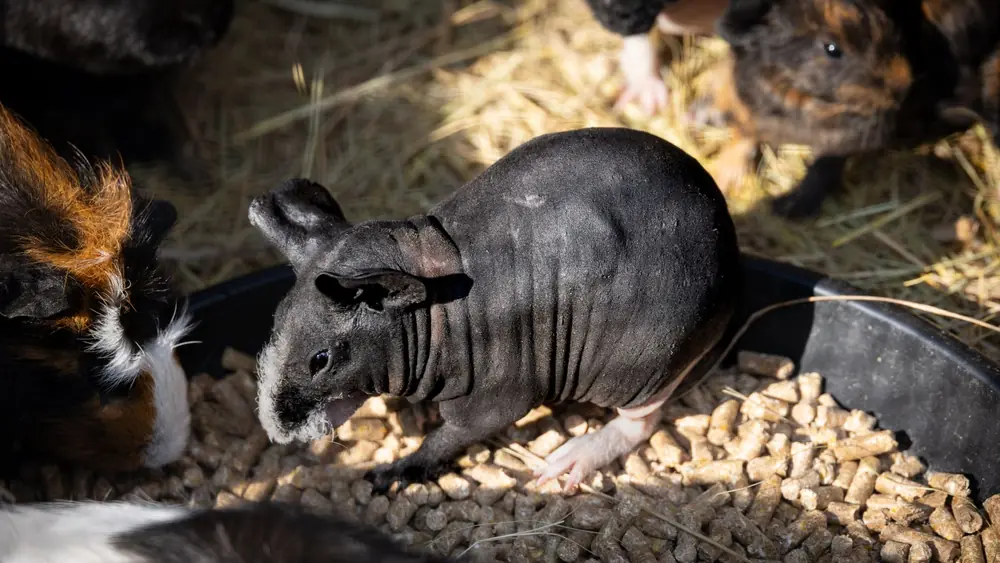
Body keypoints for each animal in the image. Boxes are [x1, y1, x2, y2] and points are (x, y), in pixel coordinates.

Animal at [249, 127, 741, 493]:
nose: (274, 430)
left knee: (641, 423)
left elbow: (453, 435)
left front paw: (399, 469)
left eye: (321, 360)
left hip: (641, 367)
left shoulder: (496, 397)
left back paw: (573, 458)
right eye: (274, 327)